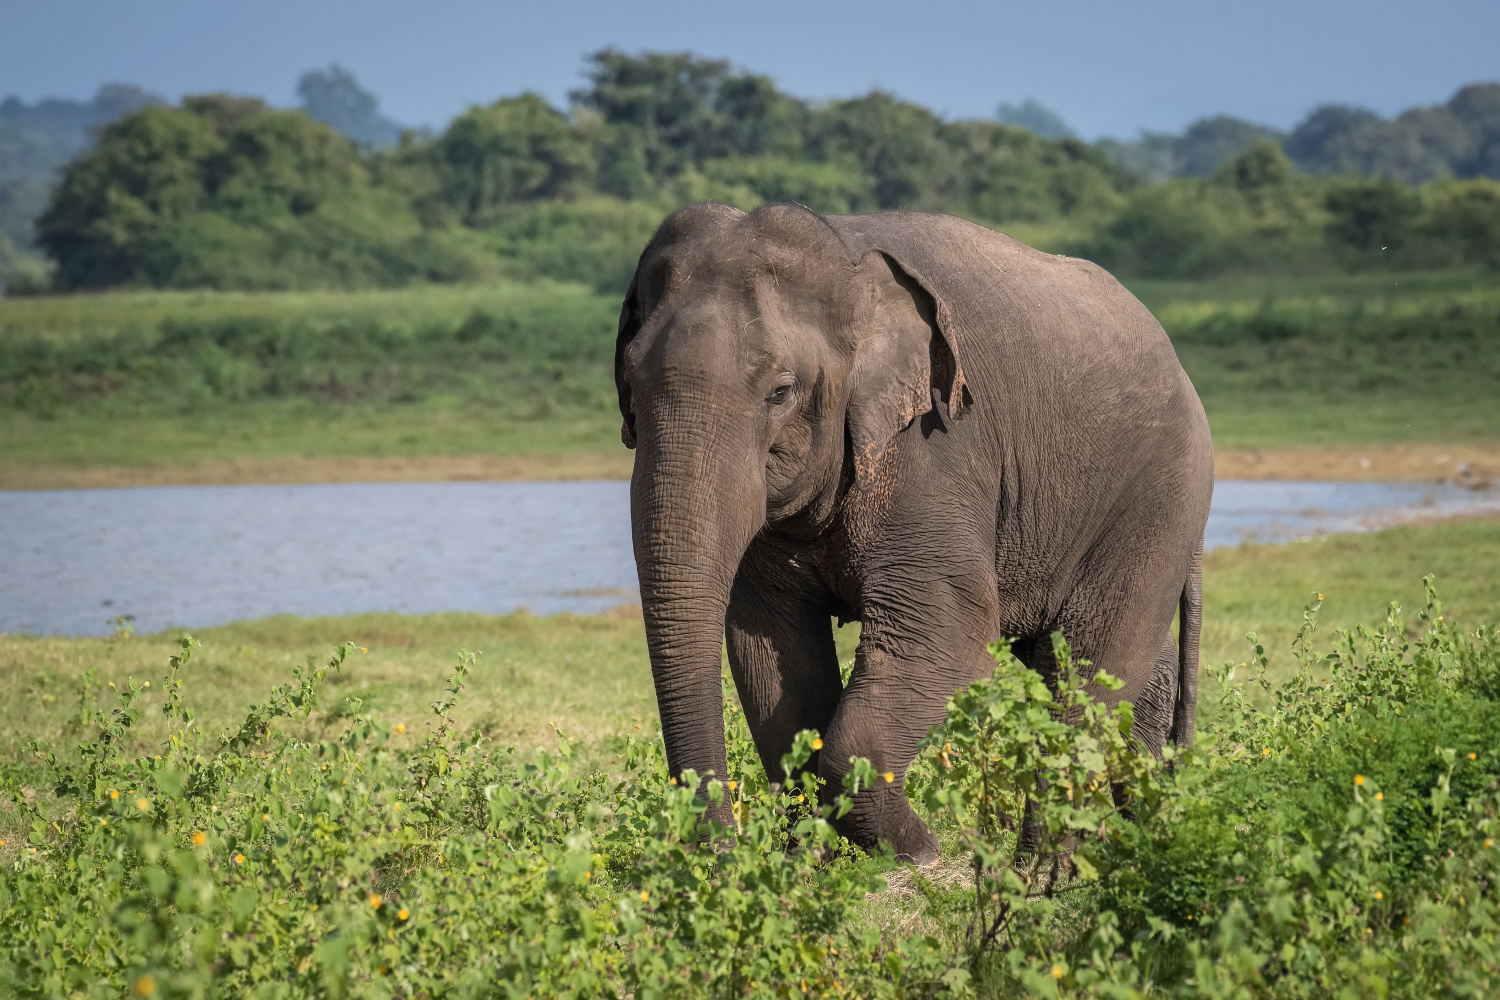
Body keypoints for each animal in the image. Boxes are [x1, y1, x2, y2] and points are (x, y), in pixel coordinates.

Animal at [615, 200, 1212, 863]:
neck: (845, 257)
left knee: (1089, 669)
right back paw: (1135, 842)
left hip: (1158, 495)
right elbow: (773, 656)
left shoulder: (935, 447)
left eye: (781, 391)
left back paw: (1041, 872)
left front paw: (921, 853)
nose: (721, 854)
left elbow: (949, 635)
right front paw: (824, 861)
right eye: (630, 385)